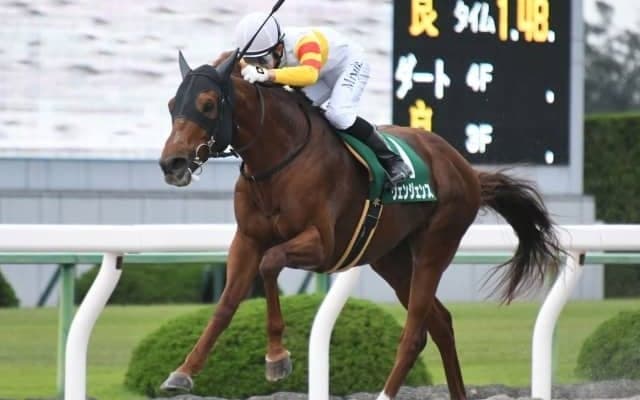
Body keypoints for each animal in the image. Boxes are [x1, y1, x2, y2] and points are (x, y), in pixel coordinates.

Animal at [158, 49, 562, 400]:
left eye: (208, 104)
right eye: (172, 105)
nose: (171, 163)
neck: (279, 160)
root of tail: (465, 168)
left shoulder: (320, 244)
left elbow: (270, 264)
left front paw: (277, 358)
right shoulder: (247, 239)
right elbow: (226, 304)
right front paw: (183, 371)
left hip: (435, 246)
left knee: (415, 331)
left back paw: (385, 393)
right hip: (391, 259)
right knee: (440, 322)